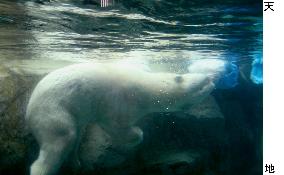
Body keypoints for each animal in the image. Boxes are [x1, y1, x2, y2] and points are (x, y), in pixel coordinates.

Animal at [25, 58, 227, 174]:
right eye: (202, 82)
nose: (212, 78)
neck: (144, 88)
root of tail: (29, 109)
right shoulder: (119, 101)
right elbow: (115, 125)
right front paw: (138, 134)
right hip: (53, 111)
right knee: (61, 140)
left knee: (76, 136)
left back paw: (76, 162)